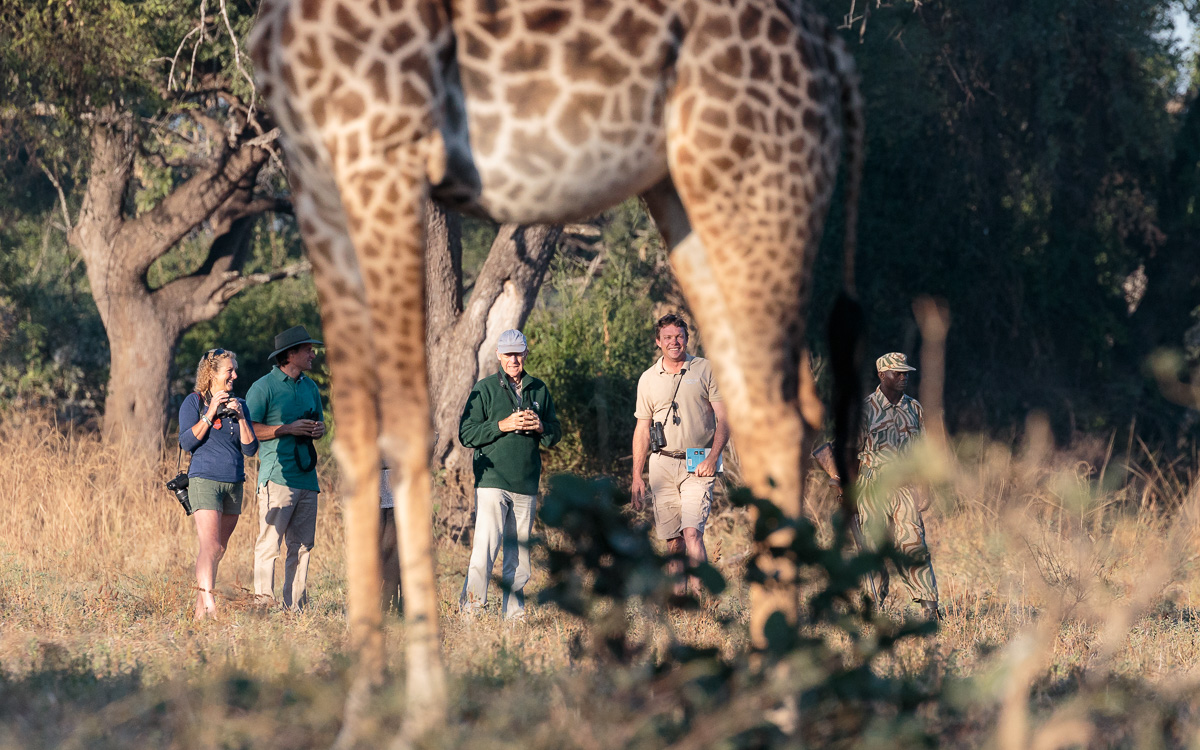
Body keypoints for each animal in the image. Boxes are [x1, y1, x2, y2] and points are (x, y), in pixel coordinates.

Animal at [250, 0, 862, 733]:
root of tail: (834, 60)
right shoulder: (318, 179)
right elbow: (358, 441)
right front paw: (362, 714)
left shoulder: (386, 152)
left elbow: (407, 430)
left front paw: (423, 714)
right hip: (684, 193)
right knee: (771, 408)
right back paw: (764, 699)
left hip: (754, 183)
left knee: (777, 414)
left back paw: (782, 704)